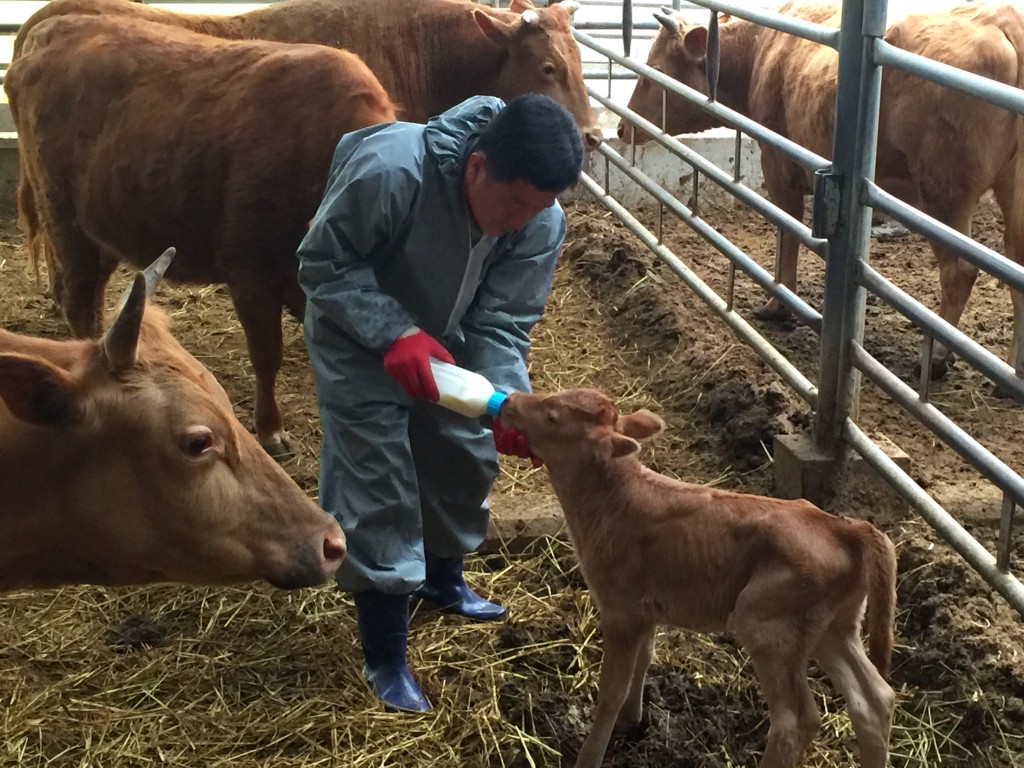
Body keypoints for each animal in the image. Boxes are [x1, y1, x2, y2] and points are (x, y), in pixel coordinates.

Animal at [6, 13, 397, 456]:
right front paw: (270, 429)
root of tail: (51, 29)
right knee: (79, 300)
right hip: (68, 225)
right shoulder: (251, 276)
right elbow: (267, 355)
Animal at [501, 387, 897, 768]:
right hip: (834, 627)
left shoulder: (620, 612)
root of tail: (845, 527)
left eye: (553, 415)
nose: (509, 400)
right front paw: (632, 721)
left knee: (796, 721)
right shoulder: (646, 610)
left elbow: (610, 691)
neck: (612, 500)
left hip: (767, 624)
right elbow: (645, 659)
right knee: (874, 701)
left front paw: (590, 755)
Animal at [618, 0, 1024, 385]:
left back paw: (936, 358)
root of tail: (1004, 21)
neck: (760, 50)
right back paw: (1013, 367)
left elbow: (788, 233)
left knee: (959, 271)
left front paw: (778, 304)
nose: (622, 128)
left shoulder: (778, 165)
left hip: (945, 194)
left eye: (654, 70)